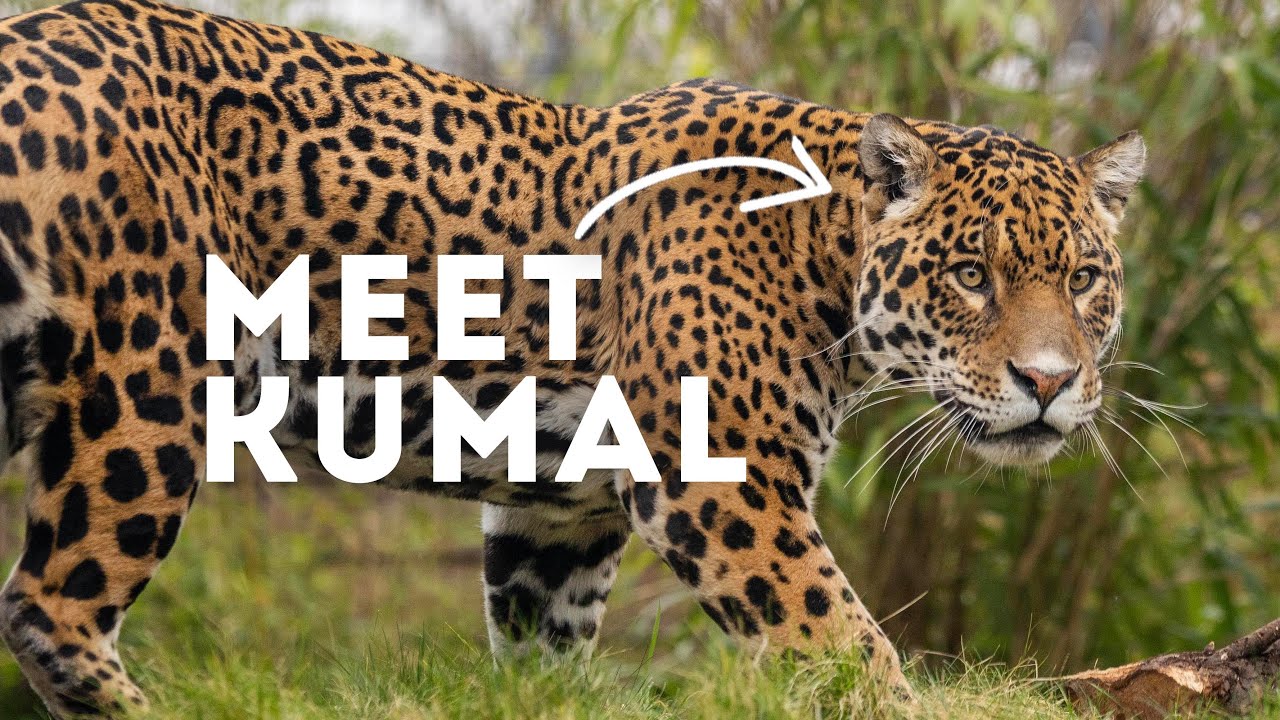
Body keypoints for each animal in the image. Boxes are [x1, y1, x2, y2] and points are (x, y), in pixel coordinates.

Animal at [0, 0, 1146, 716]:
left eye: (1085, 279)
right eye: (971, 275)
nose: (1048, 383)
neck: (818, 249)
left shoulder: (557, 518)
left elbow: (541, 658)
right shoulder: (724, 484)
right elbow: (843, 640)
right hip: (147, 381)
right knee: (49, 606)